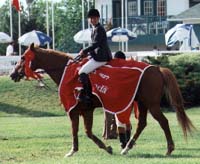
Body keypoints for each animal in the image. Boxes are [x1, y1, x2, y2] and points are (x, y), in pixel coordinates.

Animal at [10, 43, 195, 156]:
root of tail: (156, 68)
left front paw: (104, 148)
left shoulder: (77, 109)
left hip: (152, 104)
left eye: (23, 58)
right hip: (142, 103)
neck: (67, 71)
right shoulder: (83, 109)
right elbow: (83, 131)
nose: (12, 74)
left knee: (163, 122)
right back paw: (127, 148)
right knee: (142, 124)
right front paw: (77, 150)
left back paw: (169, 149)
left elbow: (82, 131)